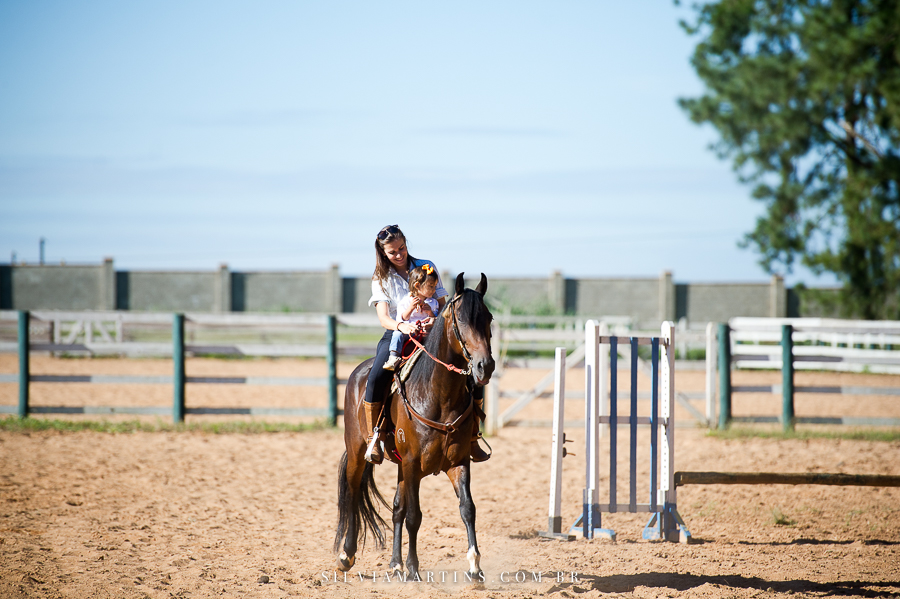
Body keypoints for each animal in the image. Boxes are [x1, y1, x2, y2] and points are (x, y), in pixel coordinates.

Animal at [334, 274, 496, 580]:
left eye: (489, 317)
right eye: (460, 318)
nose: (486, 366)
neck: (438, 395)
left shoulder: (458, 462)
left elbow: (467, 509)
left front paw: (475, 567)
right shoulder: (411, 463)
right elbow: (414, 516)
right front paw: (413, 568)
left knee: (396, 507)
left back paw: (394, 563)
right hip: (359, 450)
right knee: (352, 494)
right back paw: (346, 555)